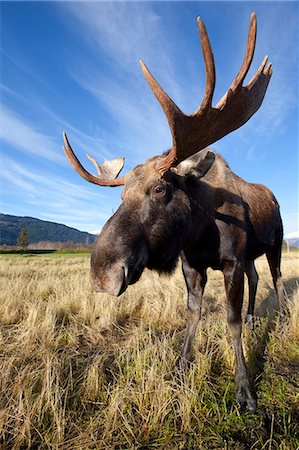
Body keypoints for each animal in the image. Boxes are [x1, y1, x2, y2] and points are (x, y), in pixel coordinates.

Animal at [62, 13, 284, 414]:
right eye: (121, 195)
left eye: (160, 189)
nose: (102, 273)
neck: (202, 230)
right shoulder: (192, 264)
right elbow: (192, 314)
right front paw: (181, 368)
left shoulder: (231, 261)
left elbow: (230, 323)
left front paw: (245, 390)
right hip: (253, 254)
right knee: (259, 278)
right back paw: (254, 317)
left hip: (275, 242)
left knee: (275, 278)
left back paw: (285, 318)